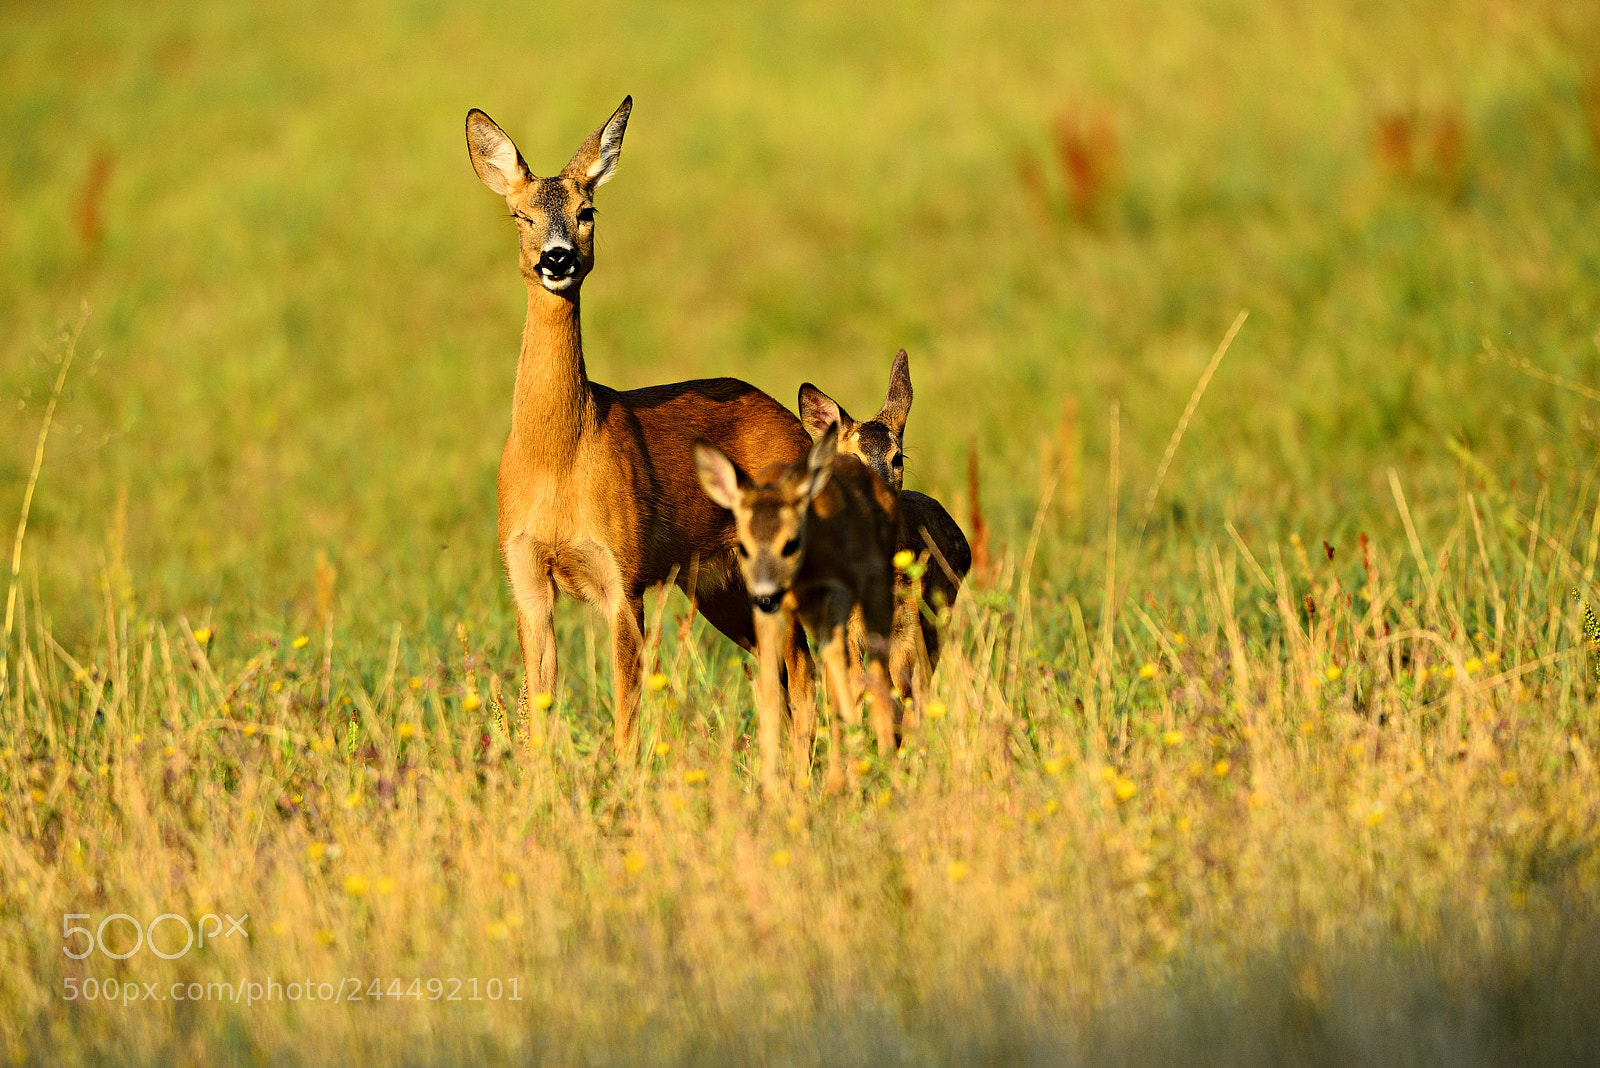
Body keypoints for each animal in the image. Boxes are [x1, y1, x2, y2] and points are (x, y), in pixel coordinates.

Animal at [465, 97, 817, 758]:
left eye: (587, 211)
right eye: (522, 216)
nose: (557, 258)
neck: (559, 458)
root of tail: (797, 426)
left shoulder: (622, 577)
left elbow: (627, 713)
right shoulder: (525, 575)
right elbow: (538, 710)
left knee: (804, 670)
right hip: (719, 585)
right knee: (779, 676)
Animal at [693, 425, 901, 794]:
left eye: (790, 543)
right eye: (743, 547)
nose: (766, 596)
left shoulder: (836, 596)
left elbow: (842, 680)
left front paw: (845, 779)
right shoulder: (770, 615)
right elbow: (771, 691)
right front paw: (772, 787)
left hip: (876, 586)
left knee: (873, 671)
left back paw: (882, 767)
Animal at [797, 349, 971, 707]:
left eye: (897, 458)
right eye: (851, 458)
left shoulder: (906, 617)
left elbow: (897, 684)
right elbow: (853, 683)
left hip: (939, 610)